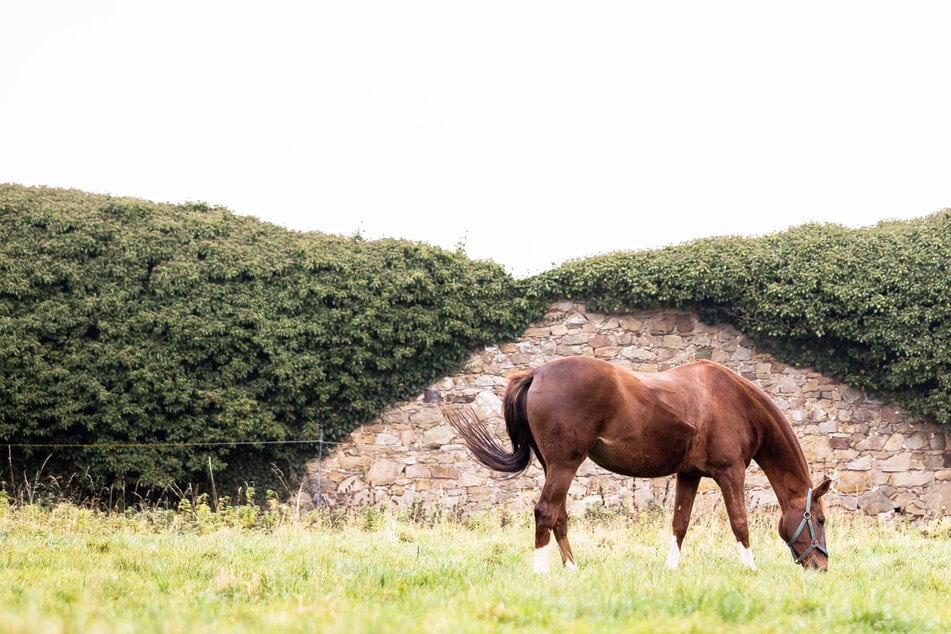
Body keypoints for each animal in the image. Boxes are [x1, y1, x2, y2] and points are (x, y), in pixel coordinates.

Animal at [442, 356, 828, 572]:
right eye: (821, 520)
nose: (821, 566)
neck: (732, 400)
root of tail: (536, 373)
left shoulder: (688, 475)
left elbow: (679, 523)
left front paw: (671, 570)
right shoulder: (729, 473)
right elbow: (740, 523)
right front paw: (750, 569)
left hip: (554, 466)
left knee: (559, 516)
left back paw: (573, 569)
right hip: (565, 465)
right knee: (545, 512)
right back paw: (542, 573)